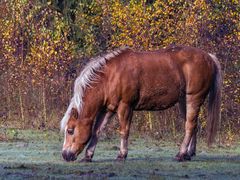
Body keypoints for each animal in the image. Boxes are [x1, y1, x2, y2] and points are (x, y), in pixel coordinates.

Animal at [60, 45, 221, 162]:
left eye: (70, 130)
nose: (65, 155)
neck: (110, 76)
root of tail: (209, 57)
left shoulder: (125, 107)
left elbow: (124, 131)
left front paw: (122, 155)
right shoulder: (108, 109)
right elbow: (96, 131)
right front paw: (88, 156)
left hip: (193, 99)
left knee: (190, 126)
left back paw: (181, 154)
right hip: (183, 102)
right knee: (193, 125)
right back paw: (189, 153)